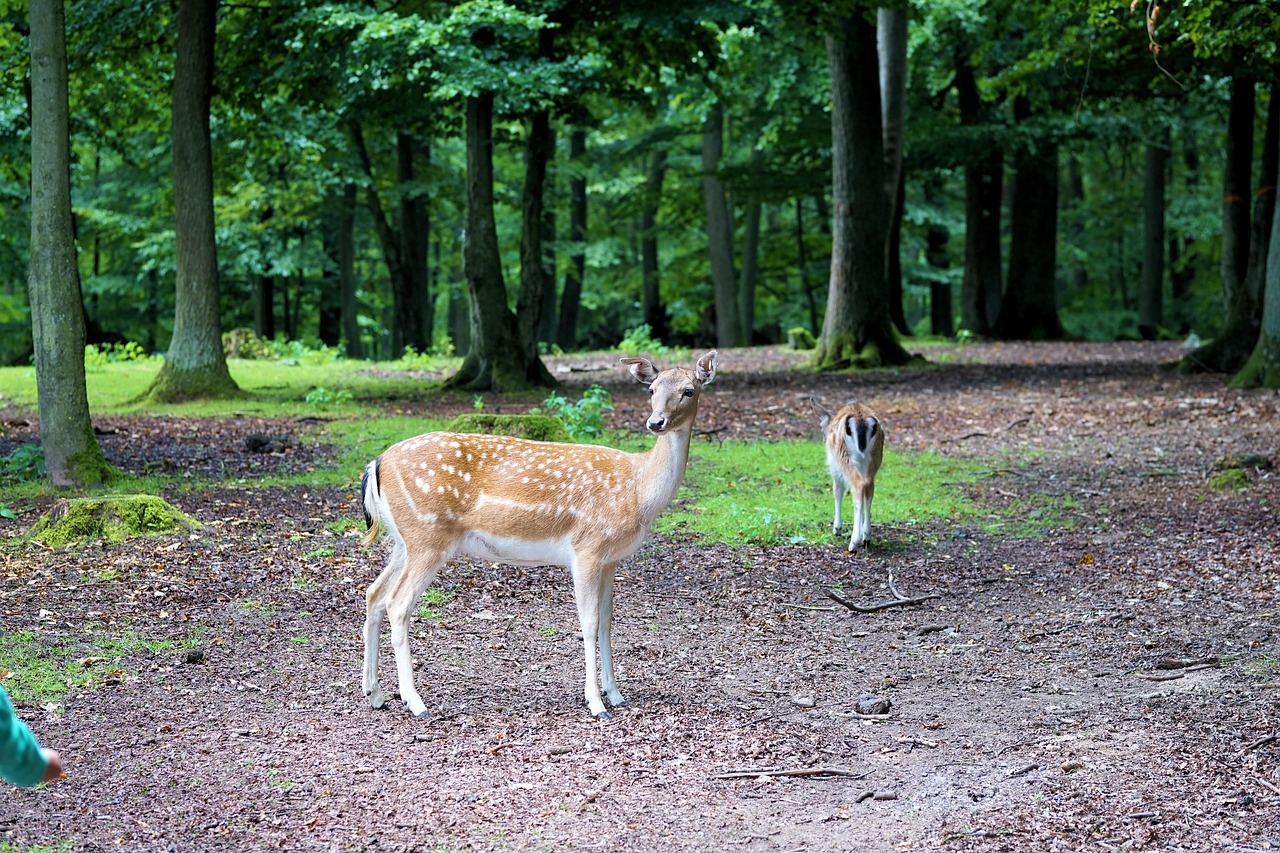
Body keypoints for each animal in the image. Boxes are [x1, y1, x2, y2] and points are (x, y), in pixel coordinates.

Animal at [360, 350, 721, 717]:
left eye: (689, 390)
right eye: (651, 389)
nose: (656, 422)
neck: (638, 490)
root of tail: (376, 464)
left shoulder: (611, 559)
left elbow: (608, 621)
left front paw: (616, 694)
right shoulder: (587, 548)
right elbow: (589, 622)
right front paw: (596, 703)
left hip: (403, 540)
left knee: (374, 594)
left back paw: (374, 693)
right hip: (427, 536)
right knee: (397, 604)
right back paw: (414, 701)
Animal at [814, 397, 885, 548]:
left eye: (821, 426)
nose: (823, 439)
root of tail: (861, 420)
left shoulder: (834, 467)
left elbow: (837, 490)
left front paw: (837, 529)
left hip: (843, 456)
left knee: (858, 485)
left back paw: (853, 543)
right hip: (875, 457)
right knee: (868, 488)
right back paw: (866, 537)